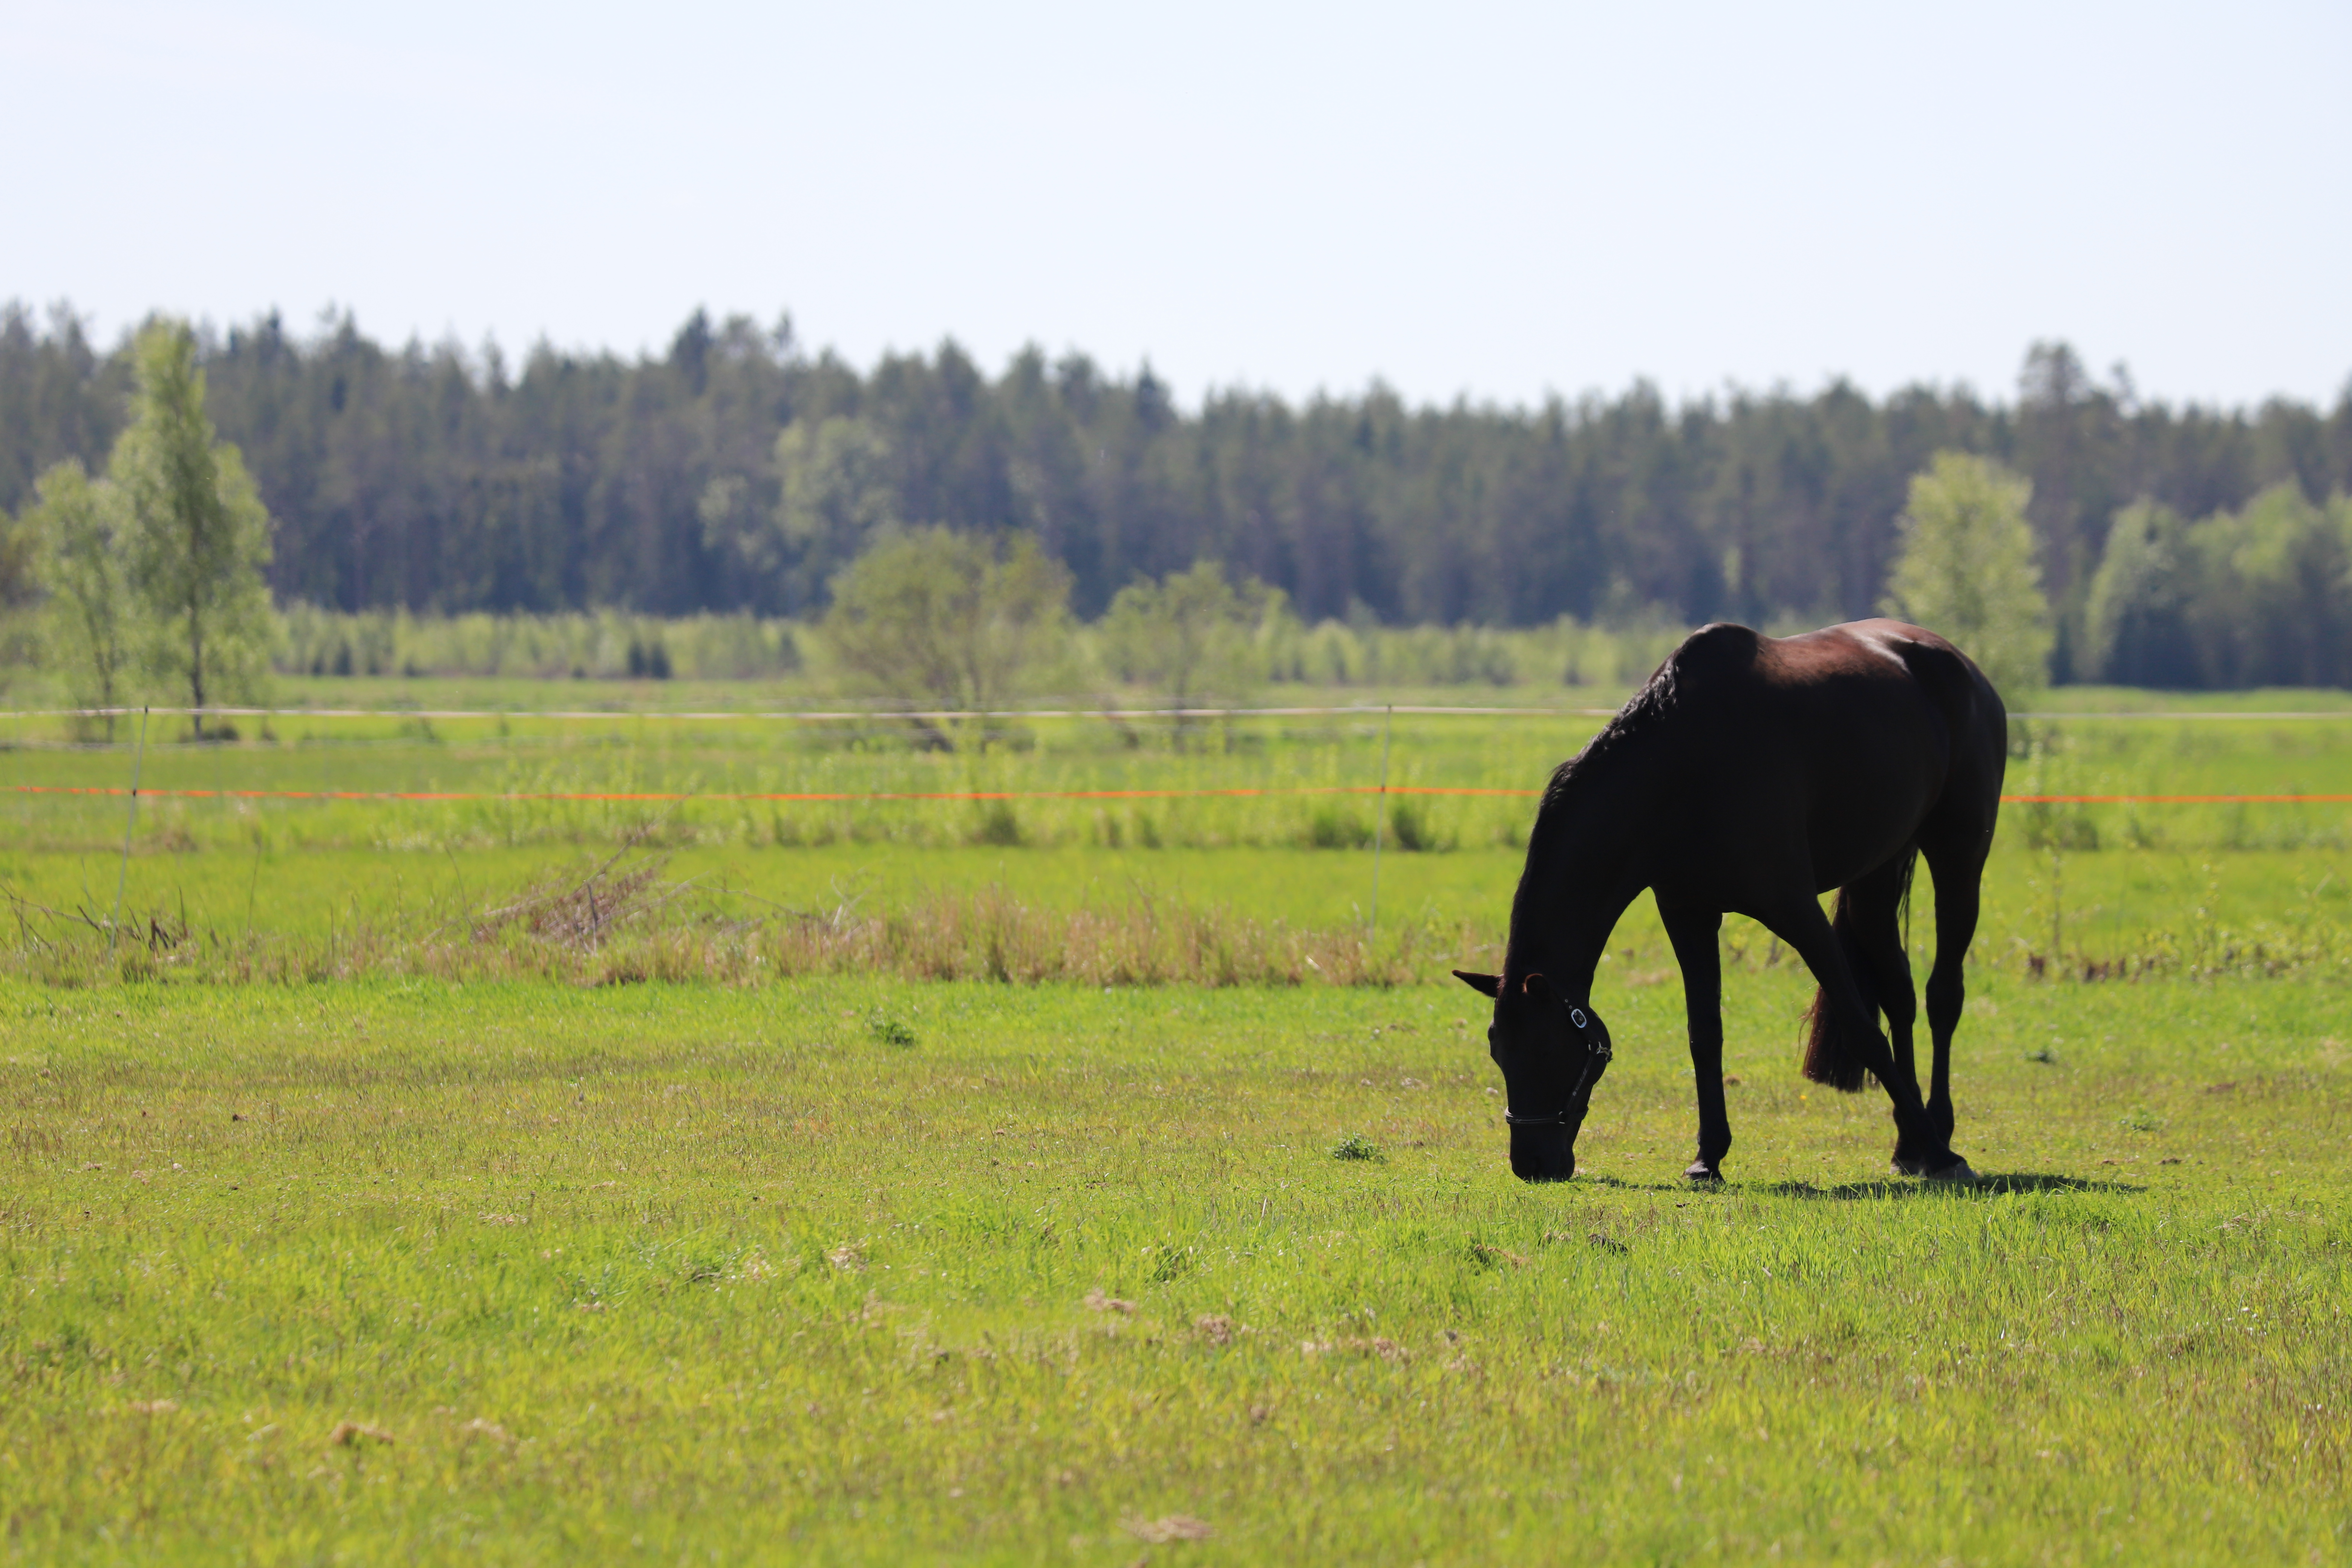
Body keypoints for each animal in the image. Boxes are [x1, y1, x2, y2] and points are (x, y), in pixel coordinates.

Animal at [1449, 620, 2004, 1185]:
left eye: (1545, 1048)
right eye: (1497, 1049)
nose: (1531, 1164)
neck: (1684, 767)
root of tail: (1954, 660)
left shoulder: (1796, 911)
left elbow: (1863, 1029)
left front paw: (1942, 1153)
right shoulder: (1688, 914)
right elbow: (1705, 1033)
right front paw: (1708, 1156)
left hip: (1959, 861)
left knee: (1942, 997)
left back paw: (1938, 1136)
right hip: (1876, 879)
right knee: (1901, 995)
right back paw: (1909, 1142)